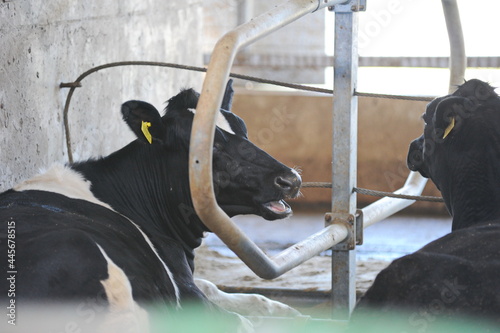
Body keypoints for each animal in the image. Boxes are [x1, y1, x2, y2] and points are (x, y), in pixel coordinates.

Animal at [0, 80, 300, 330]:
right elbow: (237, 317)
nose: (291, 179)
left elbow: (220, 289)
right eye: (209, 147)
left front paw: (285, 309)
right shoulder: (186, 293)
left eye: (245, 131)